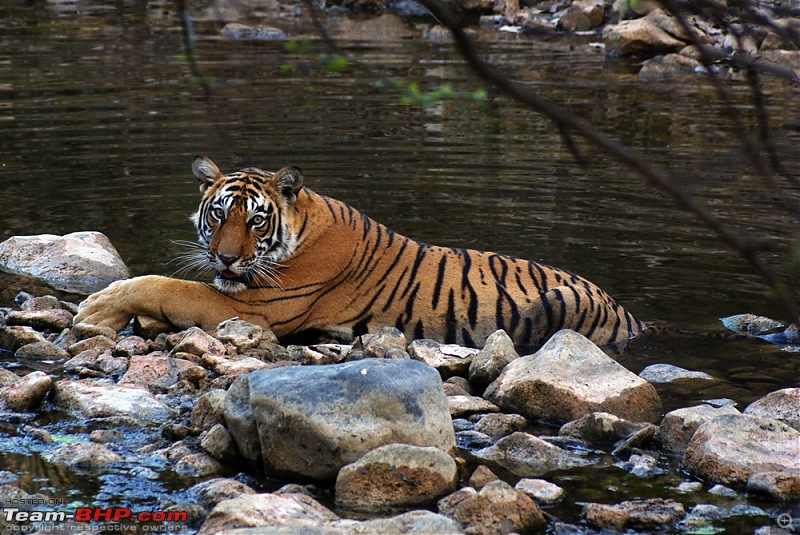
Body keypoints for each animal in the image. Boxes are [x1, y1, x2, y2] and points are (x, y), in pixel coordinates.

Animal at [75, 155, 648, 350]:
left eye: (255, 219)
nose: (227, 259)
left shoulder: (255, 308)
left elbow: (163, 285)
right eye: (218, 214)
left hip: (556, 304)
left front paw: (98, 307)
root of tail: (631, 315)